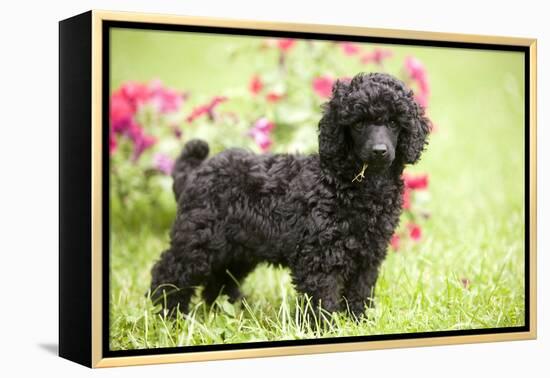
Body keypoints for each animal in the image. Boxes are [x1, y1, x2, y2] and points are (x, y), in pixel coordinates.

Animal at [150, 72, 432, 318]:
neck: (354, 184)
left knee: (219, 280)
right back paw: (169, 314)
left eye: (394, 123)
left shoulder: (369, 254)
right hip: (199, 239)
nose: (379, 151)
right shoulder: (319, 255)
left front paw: (358, 321)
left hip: (237, 248)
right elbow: (322, 297)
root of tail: (195, 171)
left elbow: (359, 292)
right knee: (170, 271)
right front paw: (324, 327)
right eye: (359, 123)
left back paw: (230, 311)